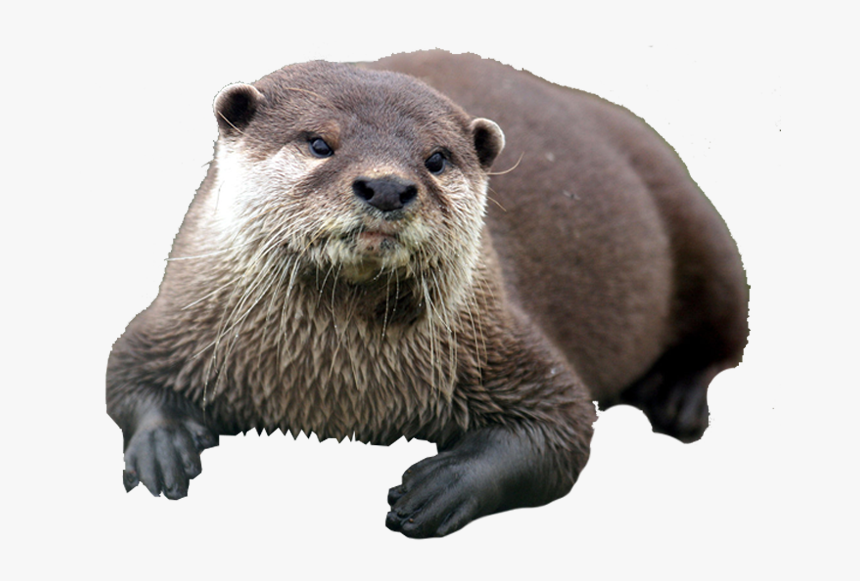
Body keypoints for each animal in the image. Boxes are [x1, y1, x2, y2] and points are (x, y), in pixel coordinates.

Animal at [107, 50, 748, 538]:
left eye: (435, 159)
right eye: (319, 144)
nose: (388, 186)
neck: (328, 386)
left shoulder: (506, 341)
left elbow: (563, 425)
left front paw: (444, 484)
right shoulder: (177, 314)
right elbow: (125, 374)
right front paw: (163, 444)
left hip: (700, 230)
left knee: (725, 332)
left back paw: (678, 398)